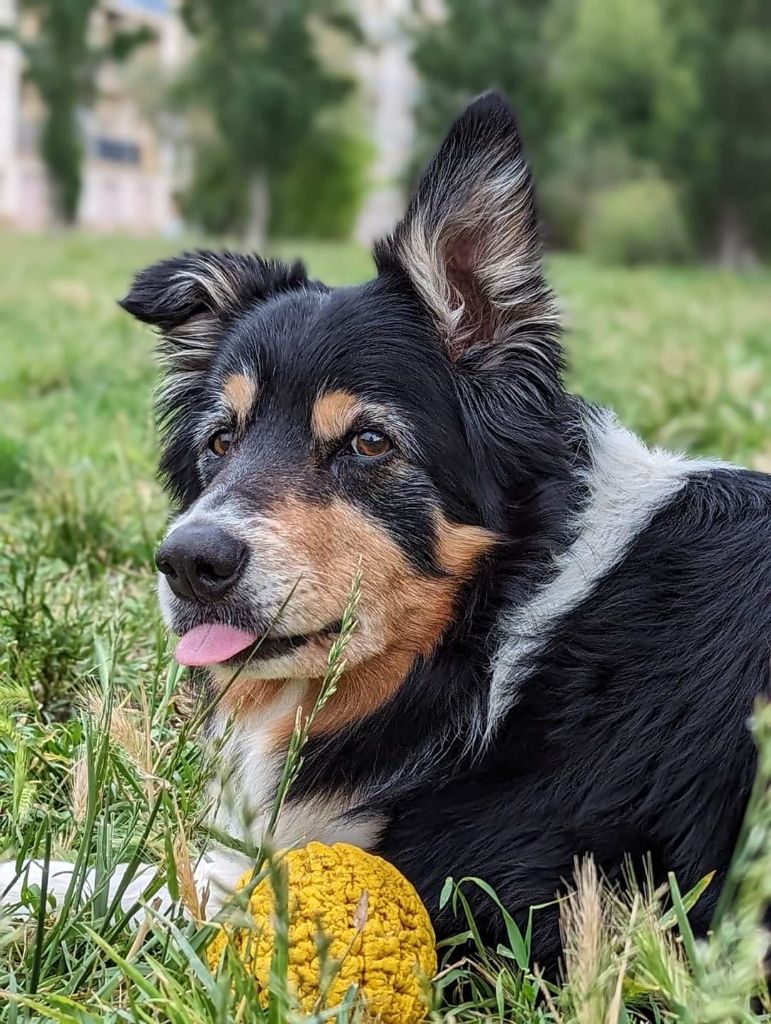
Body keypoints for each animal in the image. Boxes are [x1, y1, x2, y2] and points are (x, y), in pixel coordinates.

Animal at [3, 94, 765, 966]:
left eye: (369, 442)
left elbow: (166, 885)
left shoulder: (493, 902)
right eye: (219, 442)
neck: (506, 623)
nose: (189, 563)